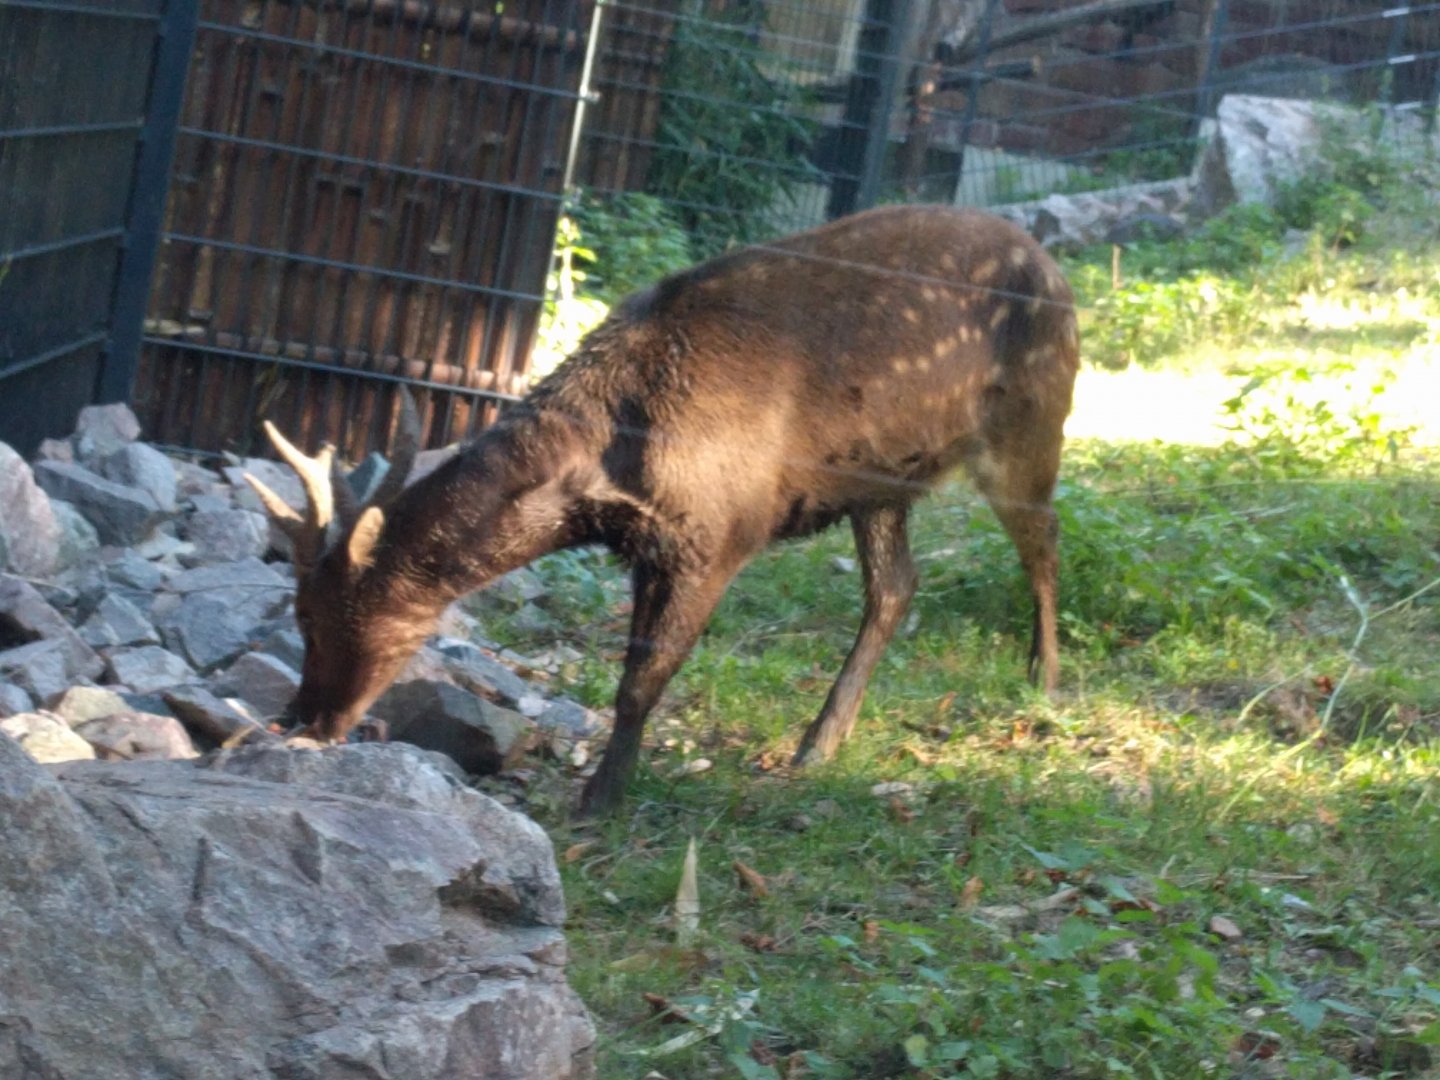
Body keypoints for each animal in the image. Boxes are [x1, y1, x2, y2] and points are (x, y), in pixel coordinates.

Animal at [244, 204, 1081, 815]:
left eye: (316, 615)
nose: (302, 718)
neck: (617, 462)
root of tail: (1058, 272)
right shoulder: (648, 548)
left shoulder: (721, 531)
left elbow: (642, 680)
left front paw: (601, 800)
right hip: (879, 480)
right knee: (897, 586)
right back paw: (819, 743)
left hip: (1032, 418)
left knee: (1045, 539)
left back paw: (1043, 679)